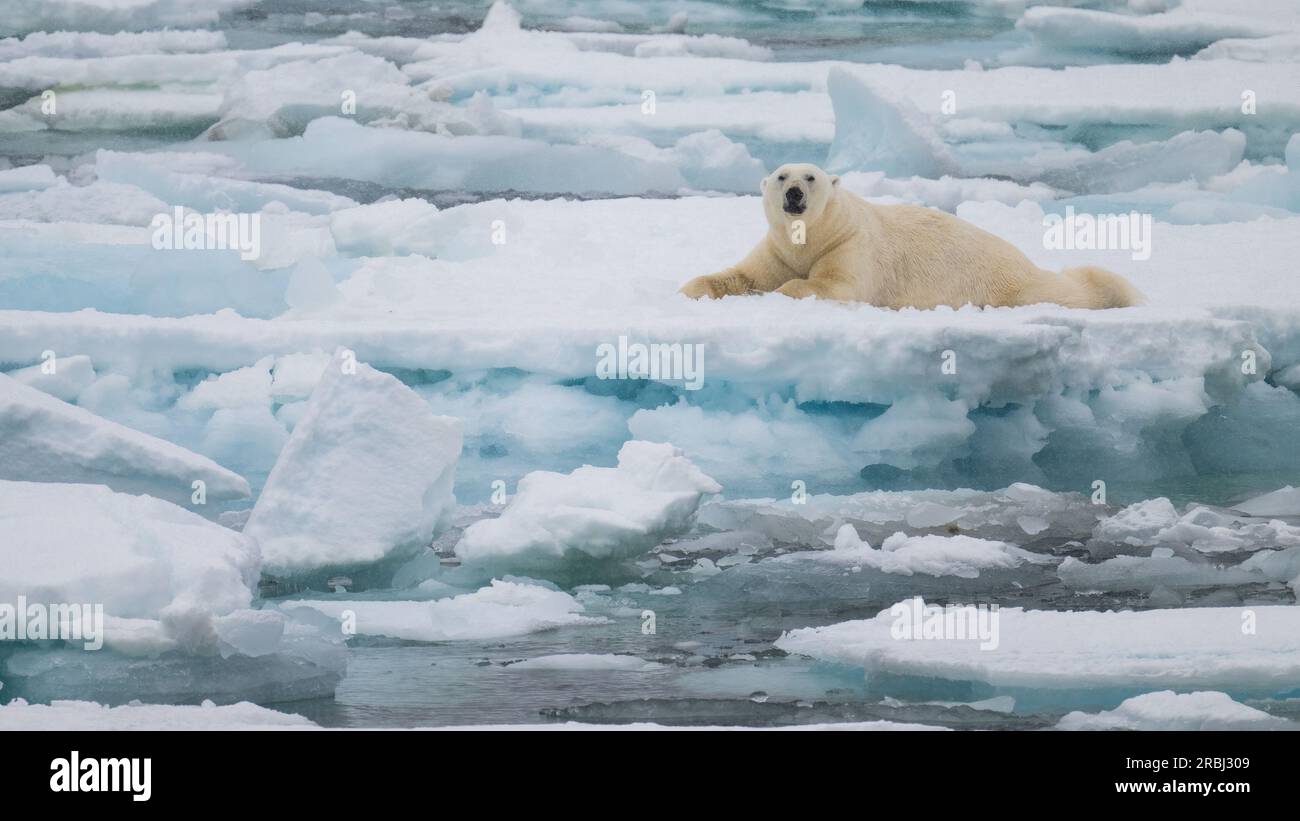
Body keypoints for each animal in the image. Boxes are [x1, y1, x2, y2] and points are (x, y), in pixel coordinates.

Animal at [679, 162, 1143, 310]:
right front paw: (691, 288)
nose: (794, 193)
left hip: (1008, 284)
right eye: (780, 176)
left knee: (1067, 288)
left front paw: (782, 291)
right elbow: (746, 273)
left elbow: (835, 284)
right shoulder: (778, 249)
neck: (811, 238)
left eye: (810, 176)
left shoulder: (851, 244)